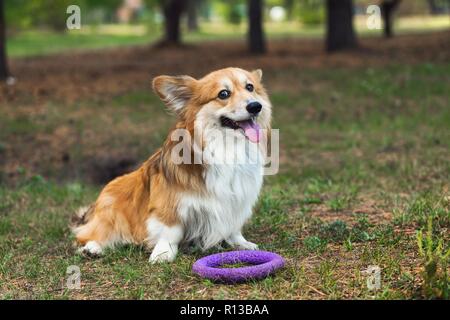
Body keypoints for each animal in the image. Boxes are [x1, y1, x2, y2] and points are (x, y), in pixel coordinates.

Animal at [72, 67, 272, 262]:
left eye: (250, 87)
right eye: (223, 94)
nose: (255, 106)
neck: (227, 148)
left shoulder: (238, 201)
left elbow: (234, 227)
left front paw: (241, 243)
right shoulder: (169, 204)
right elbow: (170, 232)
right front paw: (163, 253)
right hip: (111, 210)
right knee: (93, 234)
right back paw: (92, 248)